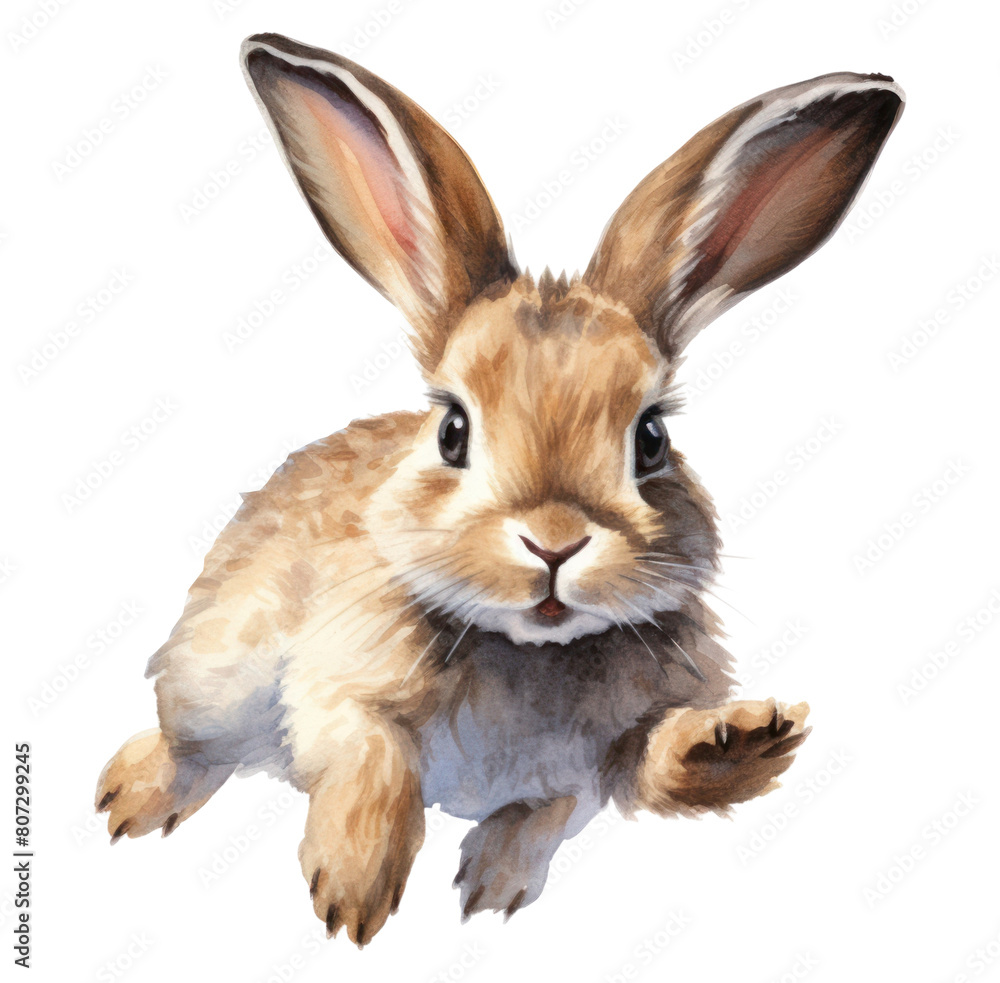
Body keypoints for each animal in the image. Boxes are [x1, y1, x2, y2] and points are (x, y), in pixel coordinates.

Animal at [96, 32, 904, 947]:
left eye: (651, 439)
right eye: (453, 430)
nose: (554, 542)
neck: (529, 648)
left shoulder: (593, 763)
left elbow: (617, 779)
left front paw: (738, 745)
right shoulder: (336, 690)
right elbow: (369, 756)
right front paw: (354, 887)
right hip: (213, 675)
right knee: (193, 740)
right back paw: (127, 796)